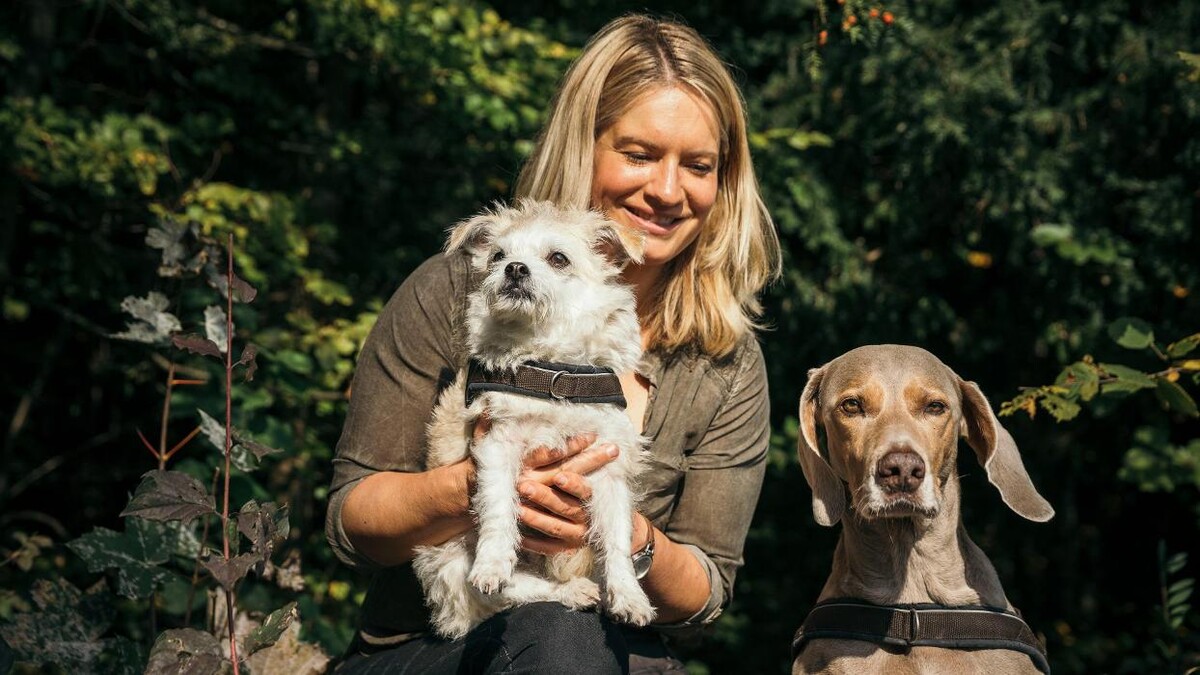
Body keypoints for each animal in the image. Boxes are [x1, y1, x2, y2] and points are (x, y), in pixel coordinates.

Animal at [412, 198, 657, 634]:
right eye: (497, 256)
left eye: (558, 258)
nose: (514, 268)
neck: (552, 368)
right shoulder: (497, 444)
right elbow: (498, 507)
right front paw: (492, 563)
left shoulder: (609, 469)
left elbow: (616, 539)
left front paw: (630, 596)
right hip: (450, 561)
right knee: (510, 591)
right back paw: (560, 589)